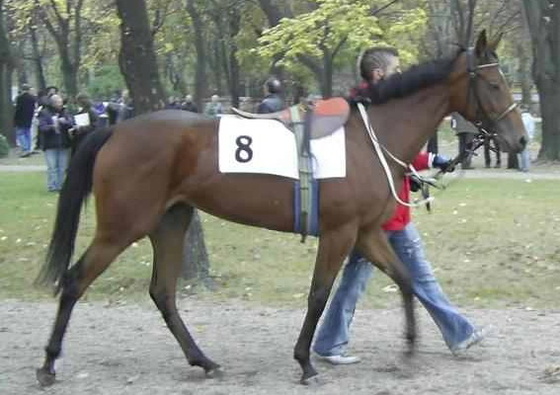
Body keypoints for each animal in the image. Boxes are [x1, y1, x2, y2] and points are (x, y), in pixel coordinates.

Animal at [37, 31, 528, 386]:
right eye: (494, 83)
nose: (520, 139)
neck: (366, 139)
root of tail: (115, 131)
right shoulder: (339, 232)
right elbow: (318, 295)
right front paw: (305, 362)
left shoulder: (367, 233)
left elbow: (406, 280)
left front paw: (409, 348)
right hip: (122, 227)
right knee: (75, 281)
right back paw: (48, 365)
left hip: (171, 222)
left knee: (163, 293)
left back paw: (203, 360)